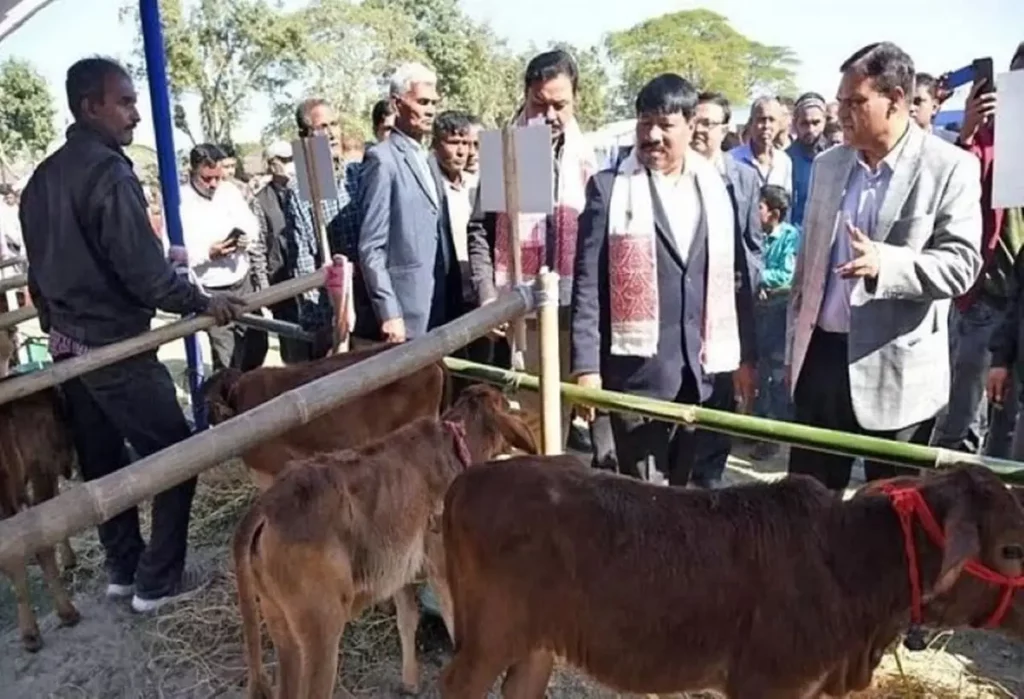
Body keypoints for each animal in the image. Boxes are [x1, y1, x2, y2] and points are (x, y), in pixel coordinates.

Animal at [230, 382, 536, 699]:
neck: (455, 446)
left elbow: (408, 619)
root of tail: (268, 504)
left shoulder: (400, 568)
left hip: (279, 620)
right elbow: (455, 622)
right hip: (321, 628)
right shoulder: (441, 565)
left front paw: (410, 682)